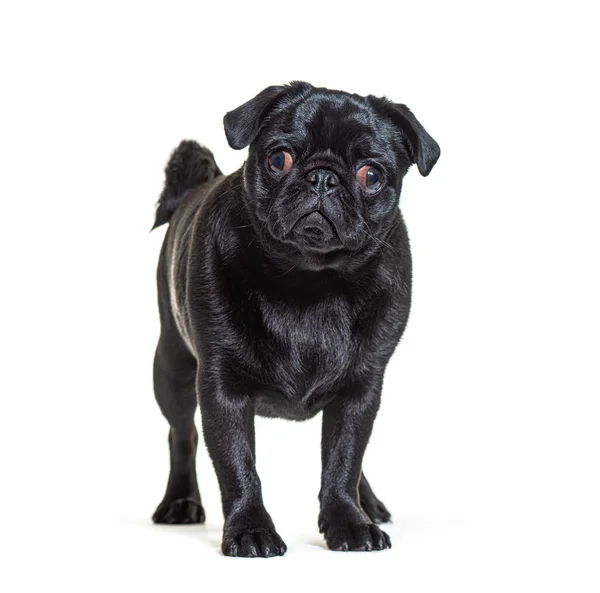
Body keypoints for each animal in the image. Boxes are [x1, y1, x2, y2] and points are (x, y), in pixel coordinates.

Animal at [151, 80, 440, 556]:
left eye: (371, 175)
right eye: (278, 159)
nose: (323, 177)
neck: (311, 280)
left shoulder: (361, 389)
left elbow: (343, 460)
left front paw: (348, 522)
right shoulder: (221, 388)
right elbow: (238, 465)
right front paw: (250, 530)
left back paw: (367, 505)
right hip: (171, 370)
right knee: (181, 435)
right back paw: (179, 503)